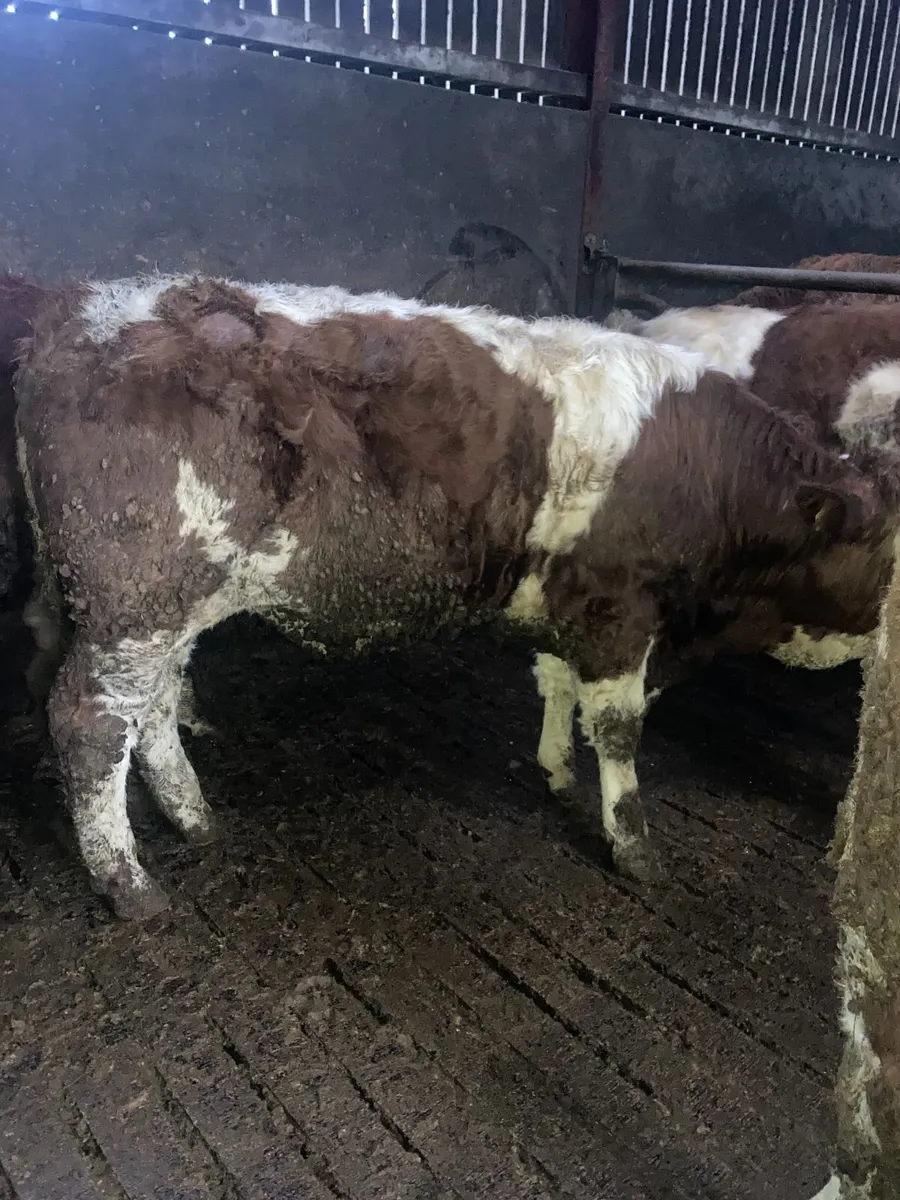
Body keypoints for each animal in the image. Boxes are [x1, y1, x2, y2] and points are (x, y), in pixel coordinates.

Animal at [1, 272, 886, 919]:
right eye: (881, 545)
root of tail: (85, 309)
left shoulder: (571, 602)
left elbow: (553, 683)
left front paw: (554, 768)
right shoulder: (619, 608)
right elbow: (620, 731)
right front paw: (633, 846)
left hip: (171, 602)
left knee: (150, 707)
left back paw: (192, 815)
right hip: (134, 600)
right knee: (88, 723)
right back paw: (128, 883)